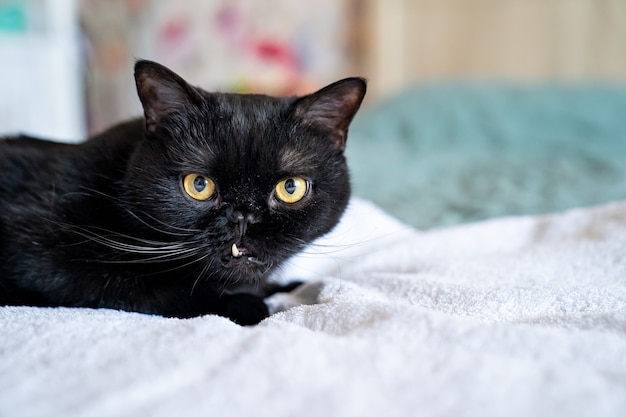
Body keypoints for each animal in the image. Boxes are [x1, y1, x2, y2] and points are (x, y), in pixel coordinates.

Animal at [0, 59, 366, 324]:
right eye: (199, 185)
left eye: (290, 188)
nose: (243, 215)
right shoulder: (46, 256)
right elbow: (150, 290)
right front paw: (247, 304)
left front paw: (282, 287)